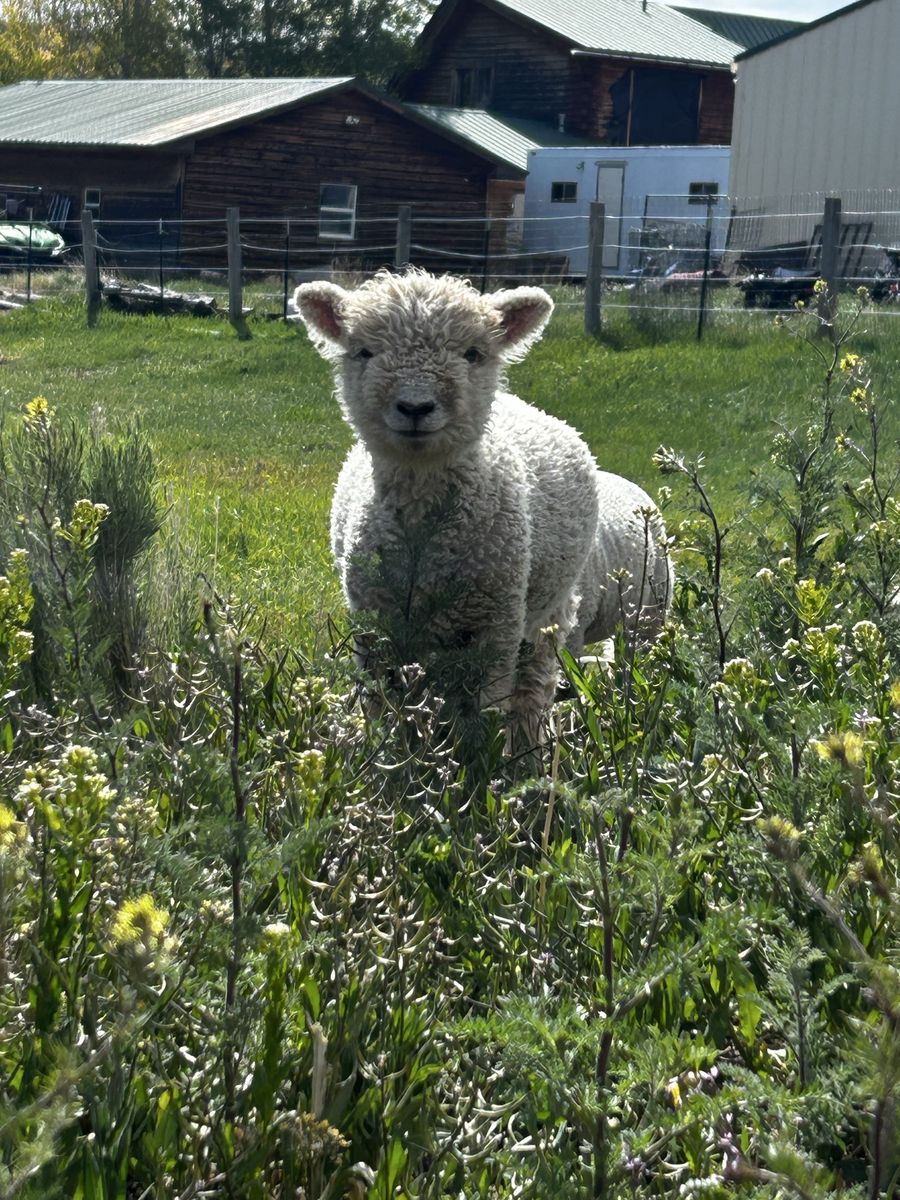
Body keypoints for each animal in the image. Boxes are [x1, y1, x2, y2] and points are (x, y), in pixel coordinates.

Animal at [294, 269, 671, 743]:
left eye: (472, 354)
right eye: (364, 352)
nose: (415, 407)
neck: (426, 537)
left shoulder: (498, 622)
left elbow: (486, 710)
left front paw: (479, 753)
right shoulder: (374, 621)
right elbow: (382, 706)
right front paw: (394, 751)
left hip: (562, 614)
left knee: (533, 688)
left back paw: (527, 746)